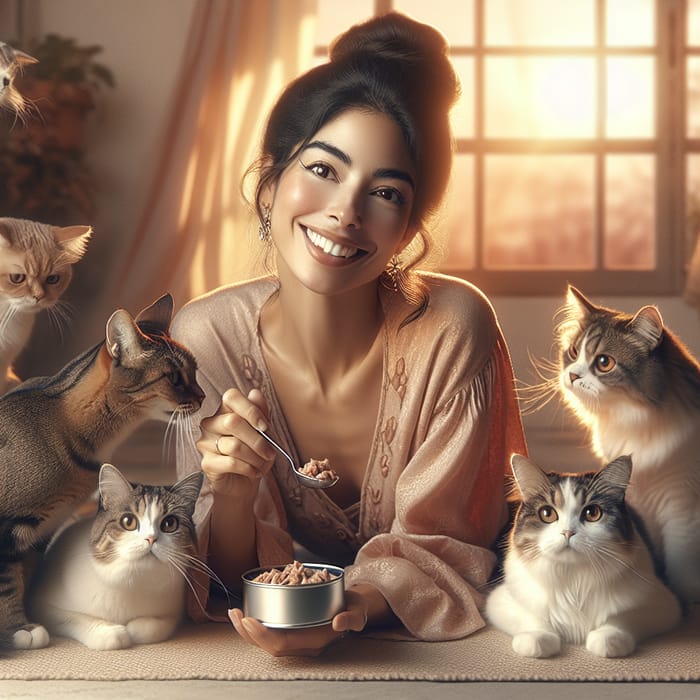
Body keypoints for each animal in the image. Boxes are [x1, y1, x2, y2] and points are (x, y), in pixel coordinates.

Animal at [30, 464, 205, 652]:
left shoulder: (175, 611)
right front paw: (109, 632)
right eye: (128, 522)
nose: (151, 538)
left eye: (169, 524)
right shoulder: (41, 606)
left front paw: (135, 628)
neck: (133, 581)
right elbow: (77, 618)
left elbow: (156, 627)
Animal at [484, 454, 680, 656]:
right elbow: (533, 617)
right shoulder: (498, 599)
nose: (568, 533)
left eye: (592, 513)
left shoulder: (662, 602)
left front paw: (608, 638)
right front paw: (538, 638)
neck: (574, 579)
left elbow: (622, 617)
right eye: (547, 514)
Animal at [552, 288, 700, 604]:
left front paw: (684, 602)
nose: (572, 376)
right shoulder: (643, 500)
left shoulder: (681, 501)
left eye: (603, 362)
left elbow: (680, 561)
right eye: (574, 353)